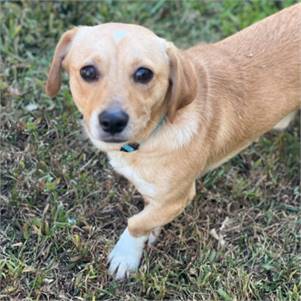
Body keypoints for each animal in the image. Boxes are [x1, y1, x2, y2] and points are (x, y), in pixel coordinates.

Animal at [45, 3, 300, 278]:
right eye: (88, 71)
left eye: (144, 73)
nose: (112, 121)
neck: (149, 137)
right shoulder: (158, 195)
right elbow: (150, 211)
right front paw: (151, 231)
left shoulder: (180, 196)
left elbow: (137, 222)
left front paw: (126, 255)